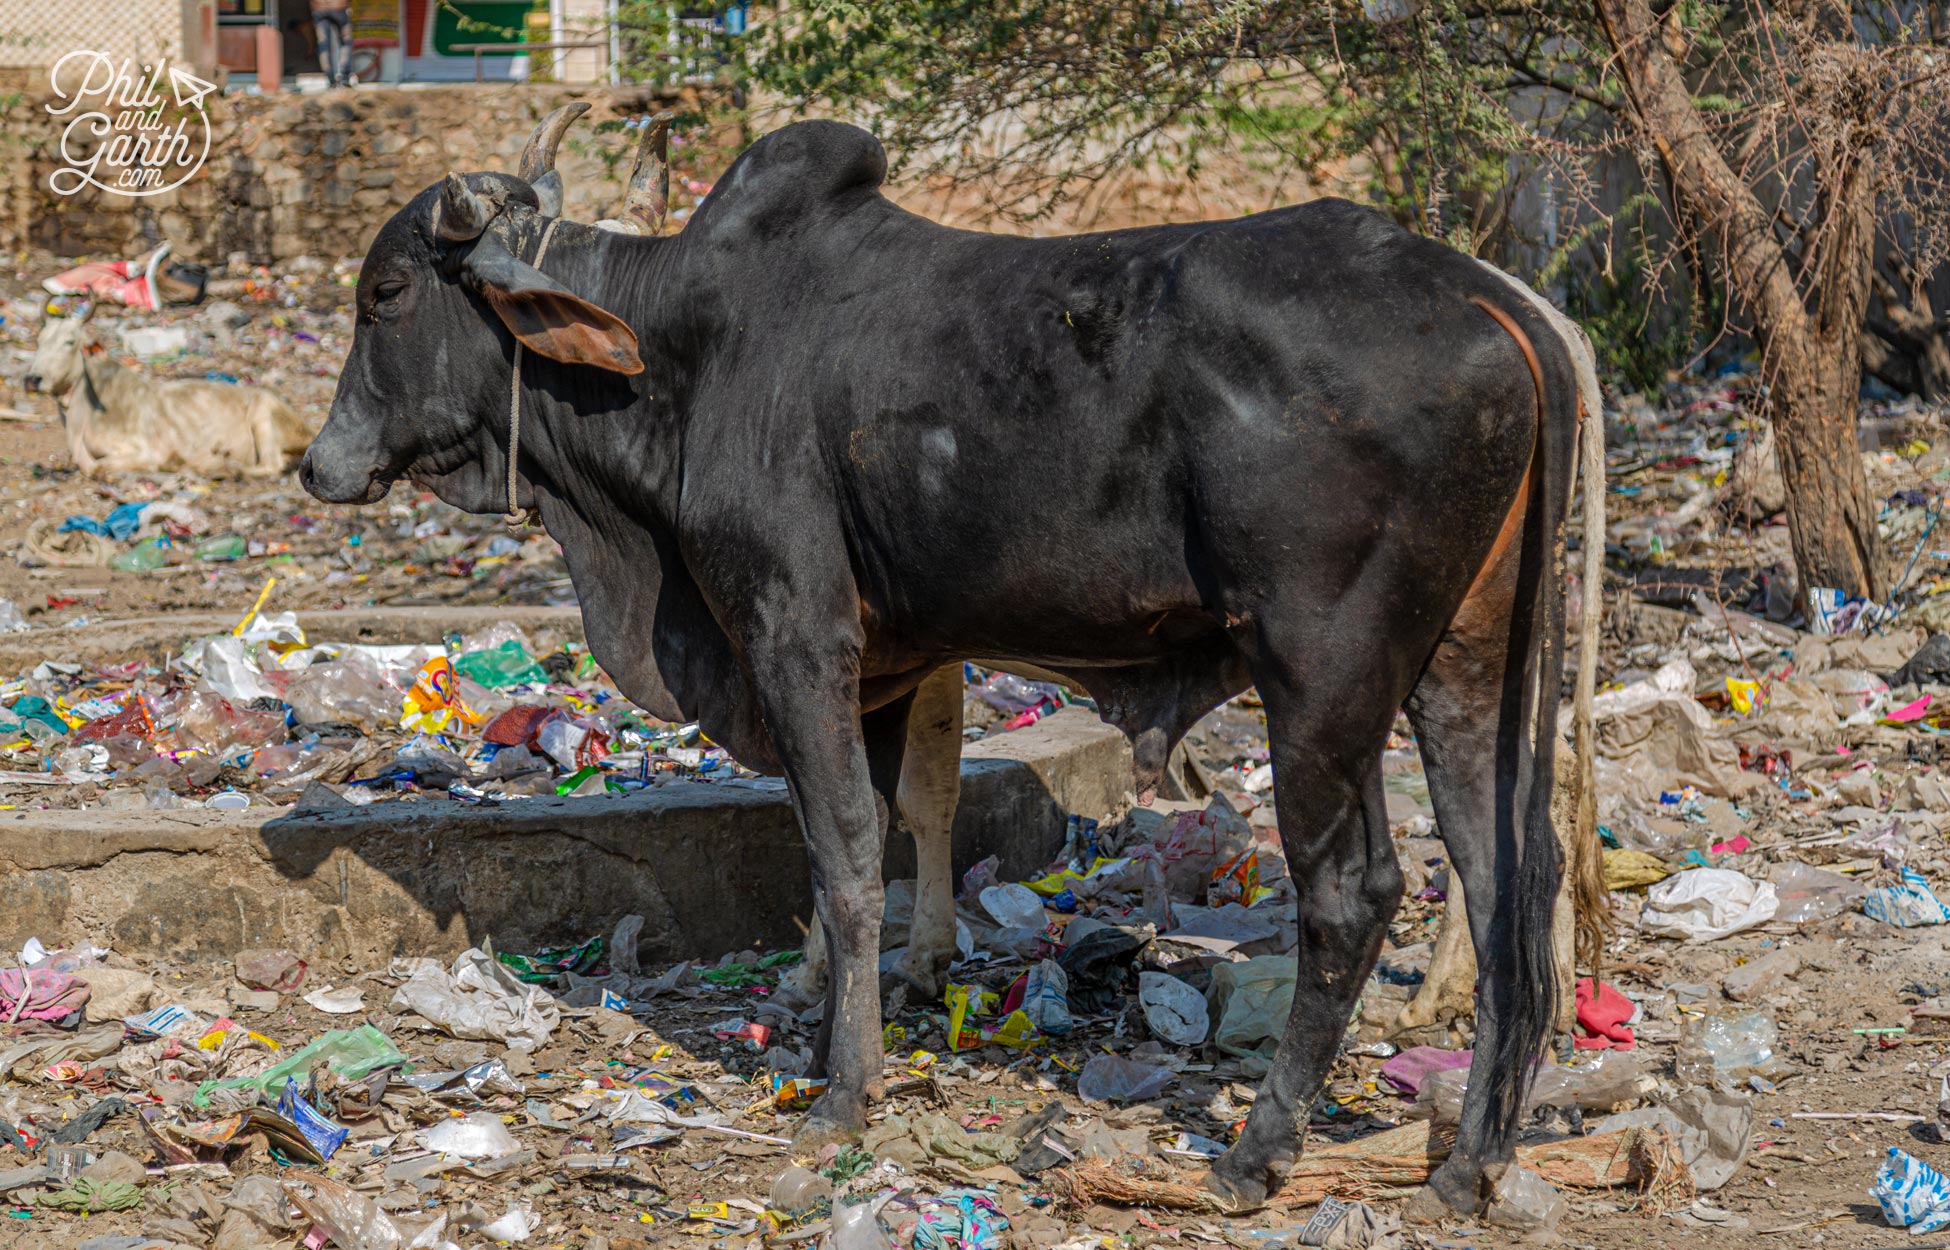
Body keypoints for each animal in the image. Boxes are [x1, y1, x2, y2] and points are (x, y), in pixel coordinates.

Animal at [21, 313, 308, 479]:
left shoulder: (145, 451)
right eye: (40, 340)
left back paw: (223, 466)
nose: (32, 379)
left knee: (271, 465)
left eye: (70, 342)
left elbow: (99, 468)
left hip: (263, 414)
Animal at [312, 114, 1606, 1209]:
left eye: (386, 293)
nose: (320, 464)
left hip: (1324, 669)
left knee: (1355, 892)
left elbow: (840, 852)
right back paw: (1469, 1162)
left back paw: (1258, 1151)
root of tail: (1492, 293)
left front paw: (845, 1087)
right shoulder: (888, 664)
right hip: (1468, 662)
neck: (677, 357)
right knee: (1509, 878)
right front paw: (852, 1008)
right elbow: (889, 833)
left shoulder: (795, 634)